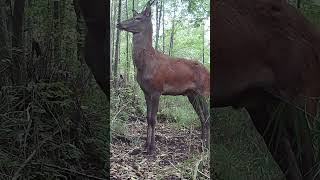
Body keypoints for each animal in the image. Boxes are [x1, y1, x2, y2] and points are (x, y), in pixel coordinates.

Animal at [115, 0, 210, 155]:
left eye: (138, 18)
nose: (119, 23)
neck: (145, 65)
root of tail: (208, 72)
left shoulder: (157, 89)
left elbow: (153, 119)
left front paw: (152, 148)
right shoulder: (146, 91)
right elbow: (147, 118)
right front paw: (145, 145)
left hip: (204, 92)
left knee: (207, 117)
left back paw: (206, 147)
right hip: (192, 95)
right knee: (202, 117)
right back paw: (202, 145)